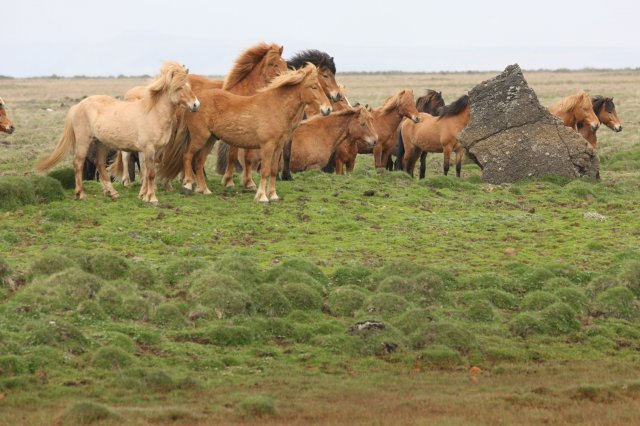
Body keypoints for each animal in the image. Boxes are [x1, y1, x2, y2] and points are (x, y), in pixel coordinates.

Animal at [35, 60, 200, 205]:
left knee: (101, 165)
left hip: (101, 143)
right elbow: (151, 173)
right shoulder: (148, 149)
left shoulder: (157, 151)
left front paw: (145, 196)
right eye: (179, 87)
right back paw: (80, 194)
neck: (153, 113)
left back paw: (112, 193)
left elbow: (148, 173)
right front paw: (152, 198)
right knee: (78, 163)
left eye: (189, 86)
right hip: (83, 141)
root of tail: (78, 106)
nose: (196, 105)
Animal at [159, 63, 330, 203]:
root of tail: (194, 103)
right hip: (200, 138)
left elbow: (274, 170)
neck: (276, 107)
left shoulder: (278, 147)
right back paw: (188, 185)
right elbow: (265, 171)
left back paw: (205, 190)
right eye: (313, 87)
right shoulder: (267, 146)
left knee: (199, 161)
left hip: (210, 140)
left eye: (321, 85)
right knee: (187, 156)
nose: (327, 109)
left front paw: (273, 195)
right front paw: (262, 196)